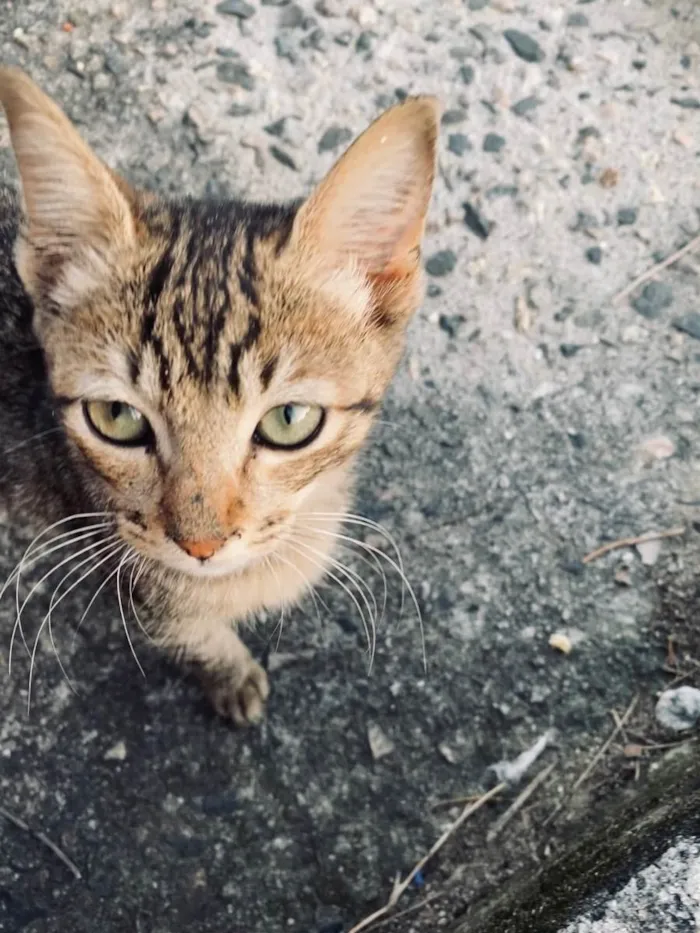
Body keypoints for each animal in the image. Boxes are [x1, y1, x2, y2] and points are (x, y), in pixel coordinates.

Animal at [0, 69, 438, 724]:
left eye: (289, 420)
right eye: (116, 417)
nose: (200, 545)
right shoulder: (126, 577)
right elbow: (188, 633)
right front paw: (229, 675)